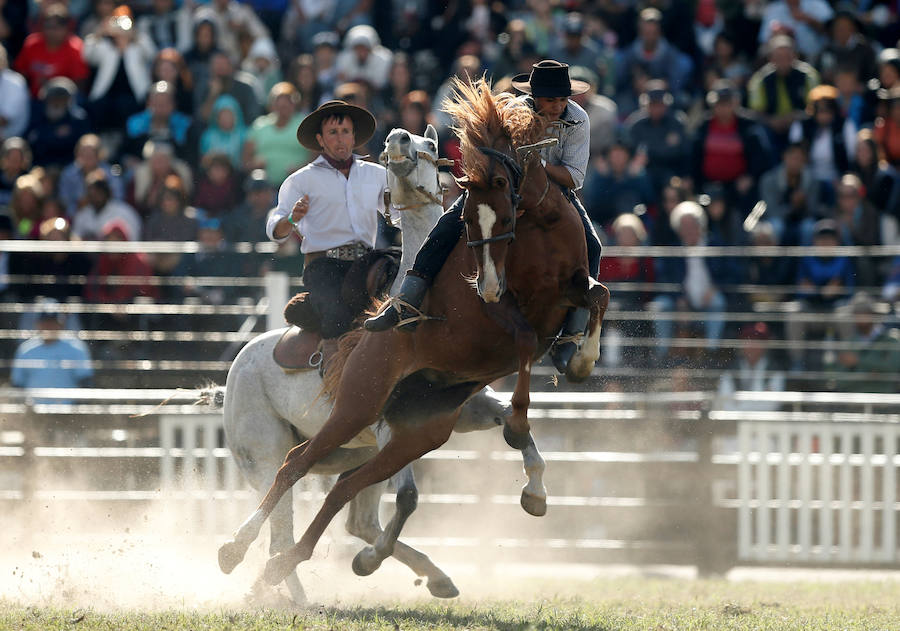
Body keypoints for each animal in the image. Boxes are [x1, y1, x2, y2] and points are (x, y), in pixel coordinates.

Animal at [218, 78, 610, 589]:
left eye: (430, 146)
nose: (398, 139)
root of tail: (241, 361)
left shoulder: (462, 407)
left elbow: (518, 421)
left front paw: (536, 487)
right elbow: (410, 495)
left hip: (378, 443)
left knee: (347, 507)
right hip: (293, 440)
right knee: (286, 490)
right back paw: (246, 559)